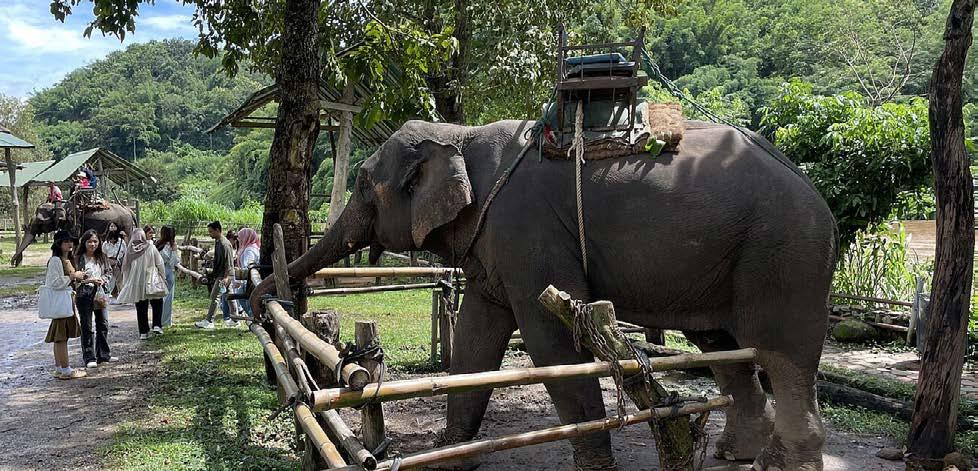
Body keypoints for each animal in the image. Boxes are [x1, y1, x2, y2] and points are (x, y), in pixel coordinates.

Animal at [253, 119, 838, 470]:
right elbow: (476, 337)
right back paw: (733, 454)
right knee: (722, 348)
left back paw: (778, 463)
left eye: (361, 184)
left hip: (787, 254)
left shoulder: (528, 233)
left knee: (783, 354)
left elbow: (550, 340)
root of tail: (817, 194)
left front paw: (594, 468)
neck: (461, 134)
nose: (261, 299)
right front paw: (452, 456)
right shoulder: (494, 243)